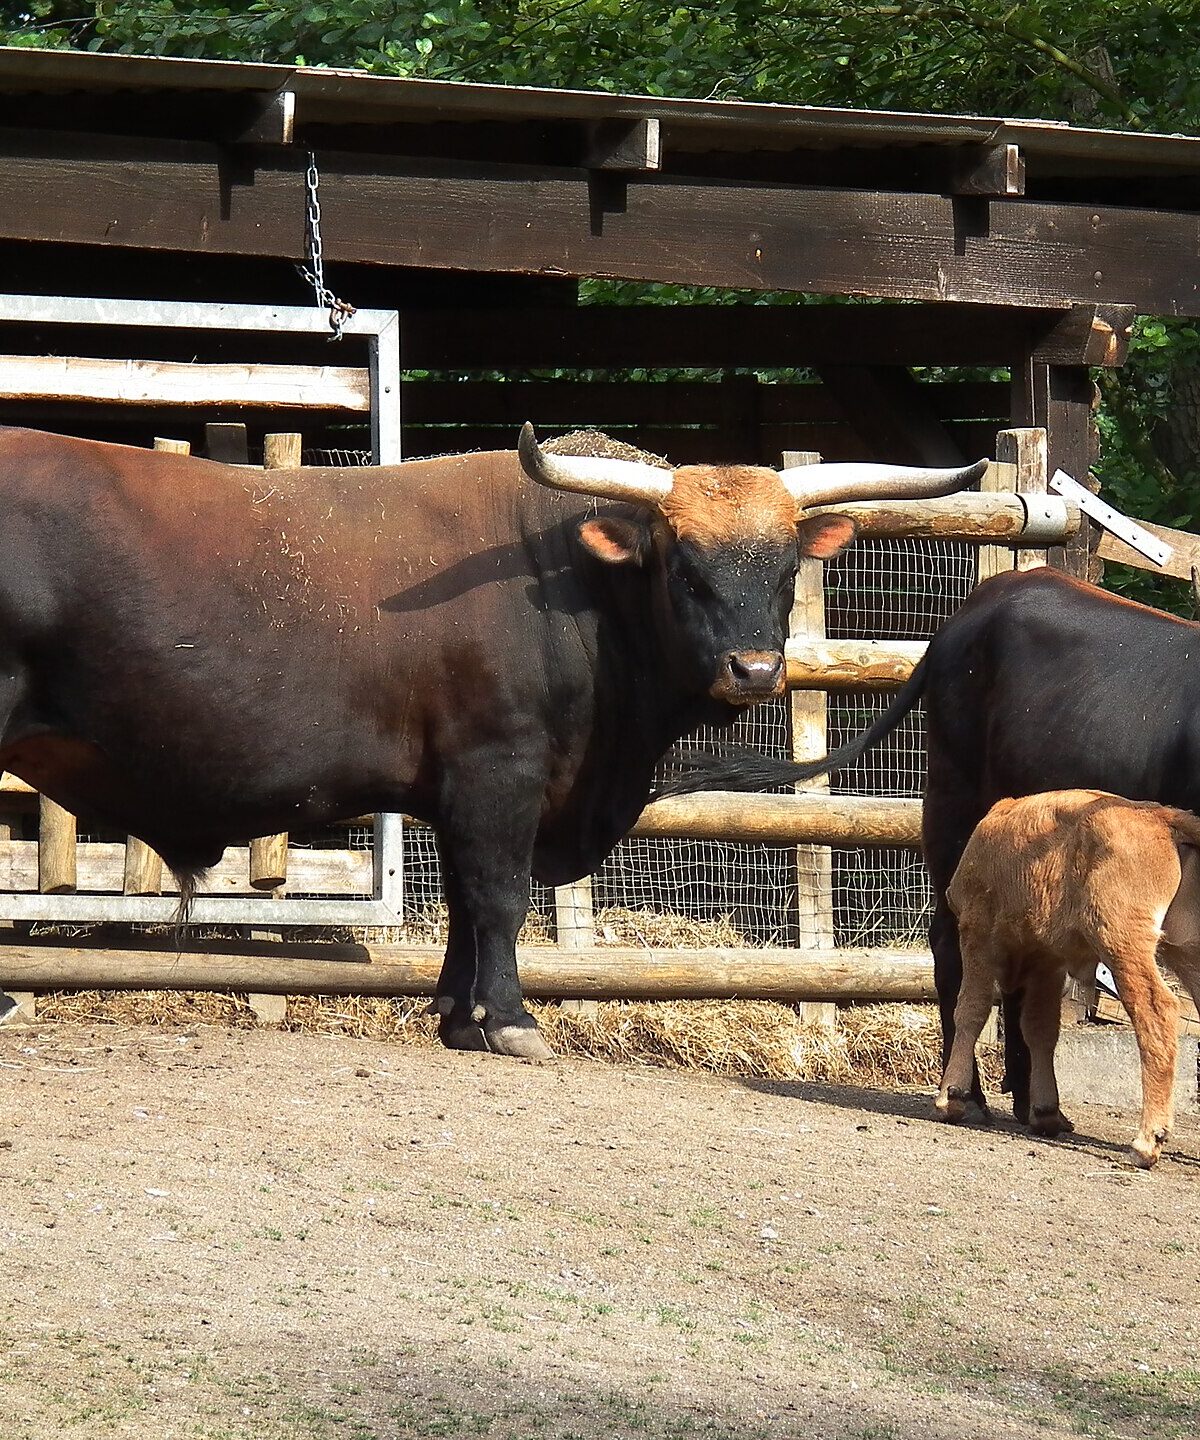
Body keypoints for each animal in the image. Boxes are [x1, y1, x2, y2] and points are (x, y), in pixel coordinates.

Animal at [0, 423, 983, 1060]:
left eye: (785, 571)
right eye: (685, 568)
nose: (754, 670)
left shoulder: (458, 788)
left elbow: (468, 907)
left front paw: (454, 1013)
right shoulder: (498, 770)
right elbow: (501, 898)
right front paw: (511, 1021)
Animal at [939, 789, 1200, 1168]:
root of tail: (1162, 818)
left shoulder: (976, 935)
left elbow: (971, 1011)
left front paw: (951, 1096)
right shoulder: (1047, 960)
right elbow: (1040, 1029)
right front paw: (1047, 1112)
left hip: (1122, 944)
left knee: (1157, 1010)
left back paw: (1146, 1141)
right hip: (1187, 953)